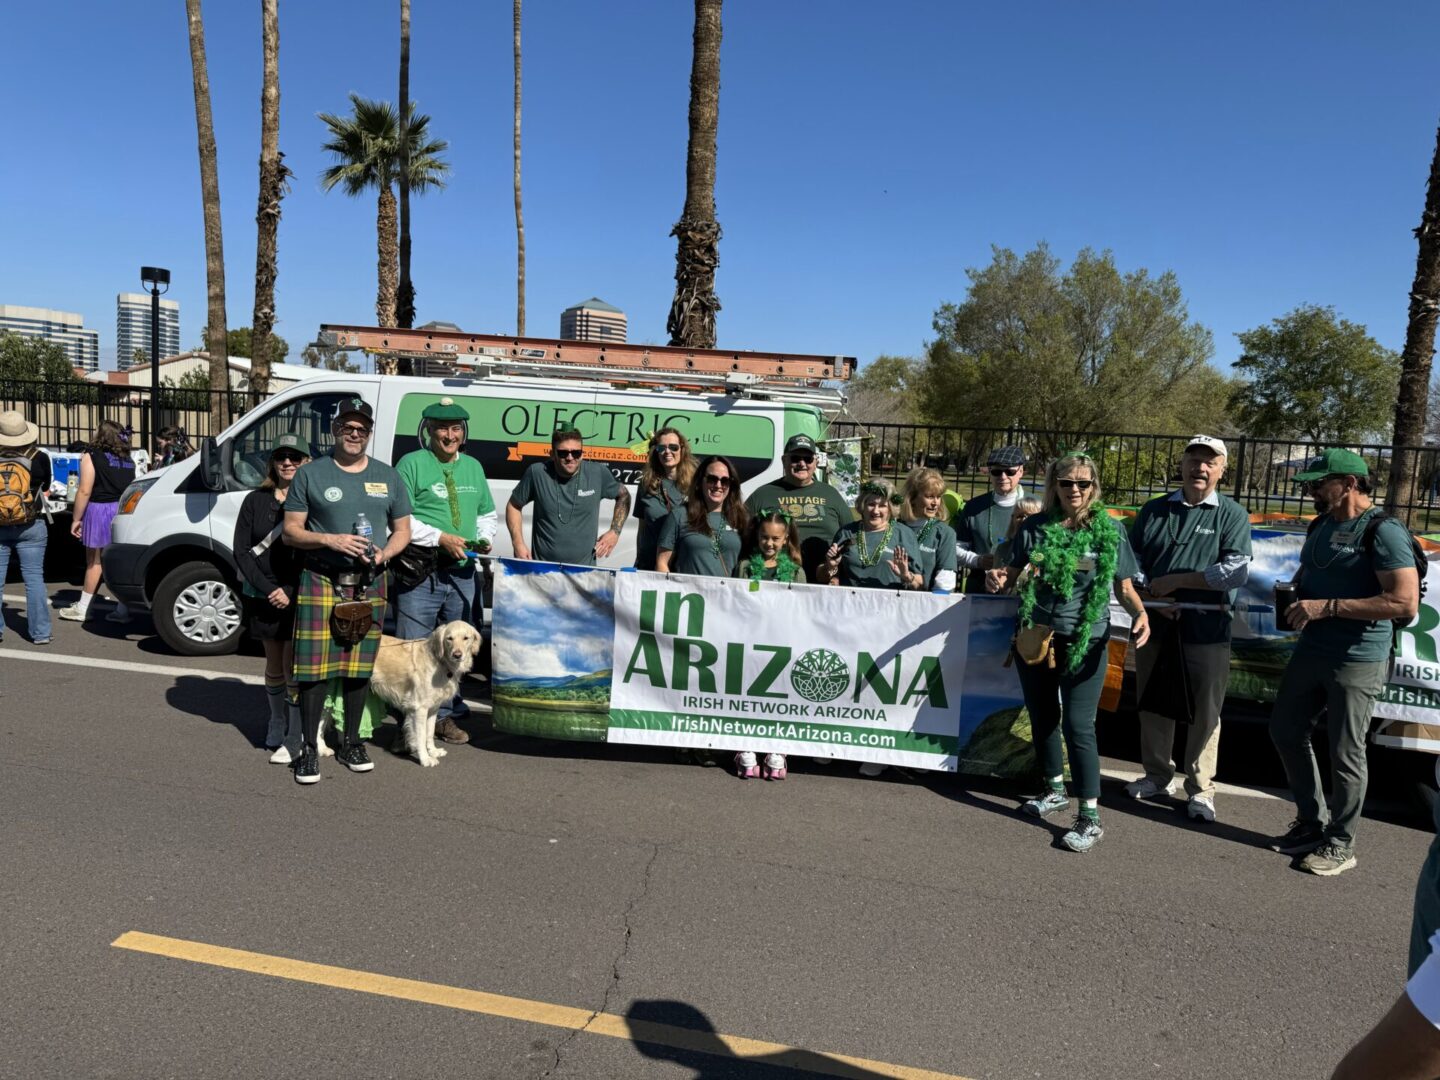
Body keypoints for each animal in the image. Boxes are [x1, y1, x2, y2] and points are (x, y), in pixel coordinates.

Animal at [371, 622, 483, 766]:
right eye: (449, 638)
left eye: (466, 638)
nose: (457, 655)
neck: (440, 661)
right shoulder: (420, 709)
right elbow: (421, 736)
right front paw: (425, 758)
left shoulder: (433, 708)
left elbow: (429, 733)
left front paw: (433, 751)